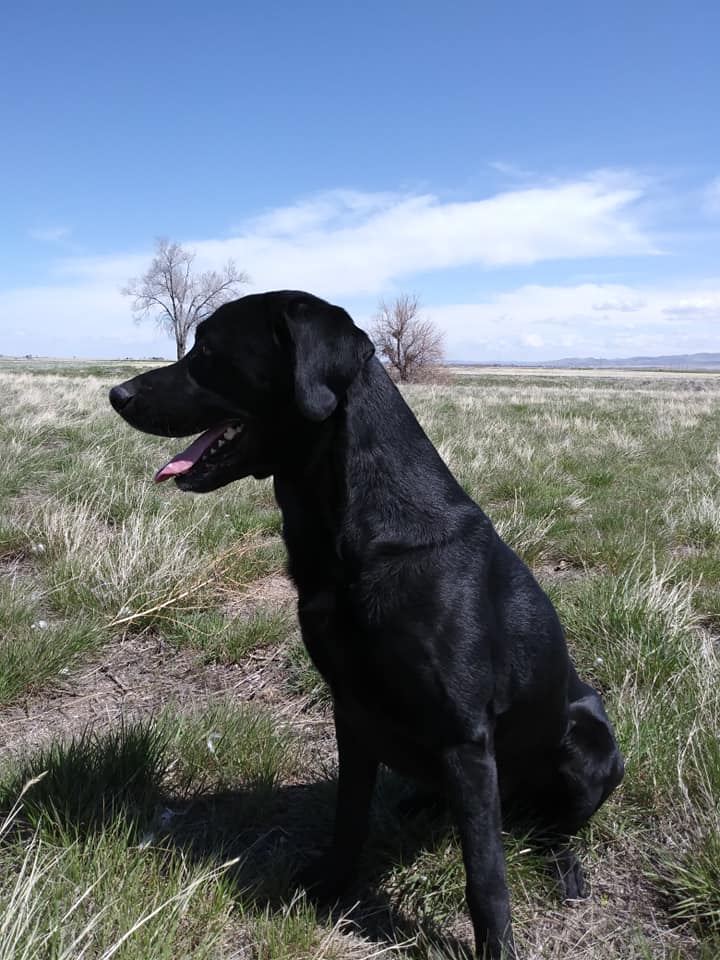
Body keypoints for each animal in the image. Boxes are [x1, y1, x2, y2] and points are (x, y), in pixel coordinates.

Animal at [109, 292, 620, 960]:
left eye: (210, 351)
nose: (116, 393)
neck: (350, 531)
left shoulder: (464, 734)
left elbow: (485, 874)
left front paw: (495, 946)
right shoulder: (351, 709)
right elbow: (348, 813)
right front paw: (330, 886)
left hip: (591, 743)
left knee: (554, 826)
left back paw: (564, 866)